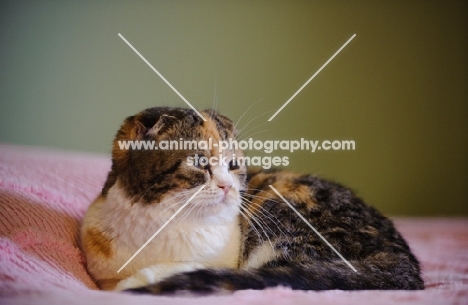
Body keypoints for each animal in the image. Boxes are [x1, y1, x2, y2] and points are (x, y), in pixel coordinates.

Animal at [80, 106, 424, 292]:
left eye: (233, 164)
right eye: (200, 162)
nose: (227, 187)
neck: (160, 222)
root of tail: (402, 259)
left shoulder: (222, 261)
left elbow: (182, 270)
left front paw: (133, 286)